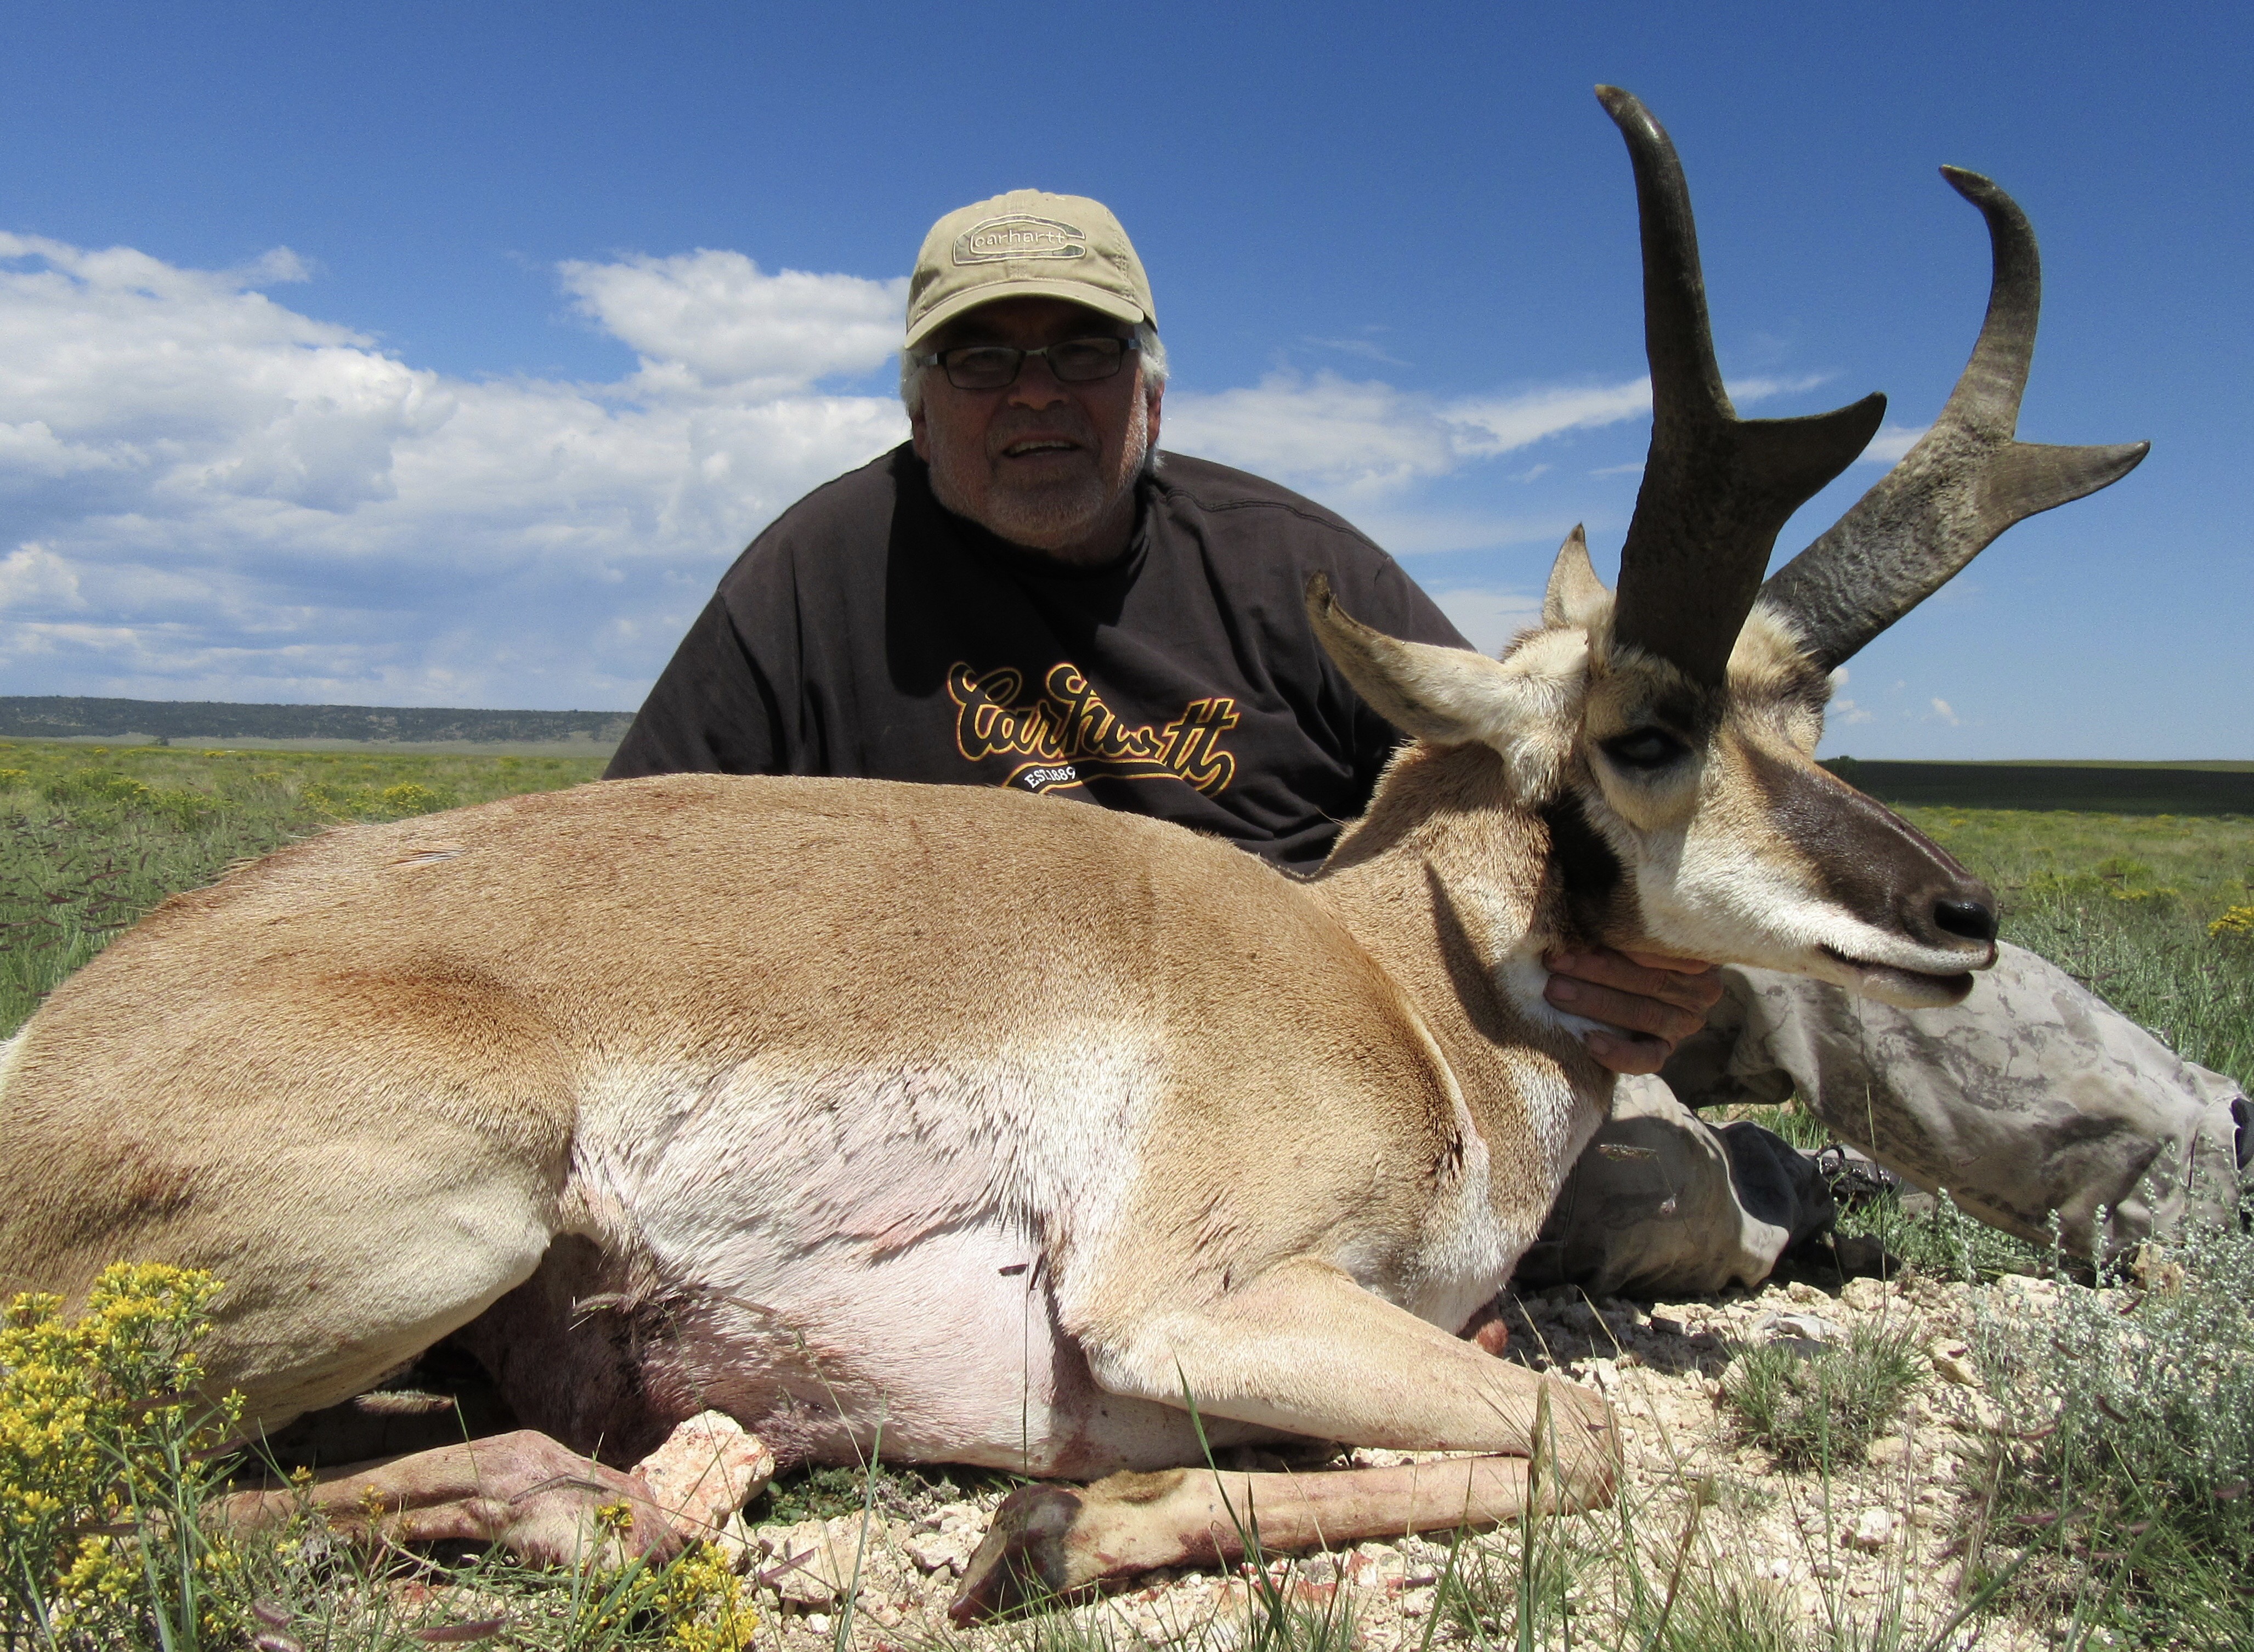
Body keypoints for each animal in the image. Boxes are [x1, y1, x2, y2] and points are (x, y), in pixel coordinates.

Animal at [0, 89, 2141, 1615]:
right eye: (1644, 732)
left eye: (1810, 714)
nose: (1958, 913)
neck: (1390, 983)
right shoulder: (1190, 1298)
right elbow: (1584, 1433)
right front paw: (1047, 1533)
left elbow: (1551, 1421)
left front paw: (1062, 1524)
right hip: (451, 1203)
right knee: (112, 1495)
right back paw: (615, 1495)